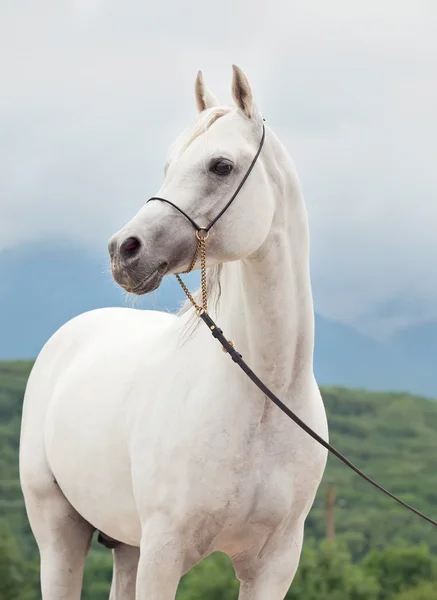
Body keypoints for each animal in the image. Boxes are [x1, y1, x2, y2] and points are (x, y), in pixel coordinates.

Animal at [19, 67, 328, 600]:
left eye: (221, 166)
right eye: (168, 166)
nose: (124, 250)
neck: (263, 399)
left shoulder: (274, 566)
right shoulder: (165, 553)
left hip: (128, 546)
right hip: (60, 535)